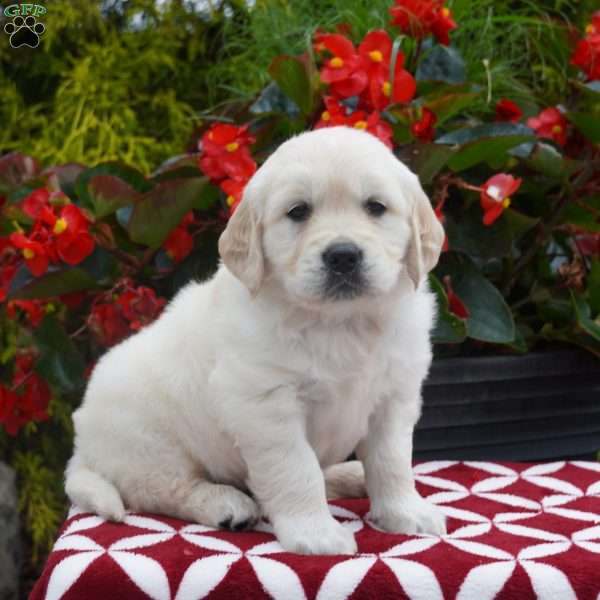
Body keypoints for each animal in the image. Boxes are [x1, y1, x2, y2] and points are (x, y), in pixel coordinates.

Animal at [67, 125, 446, 552]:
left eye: (376, 207)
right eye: (298, 211)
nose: (343, 256)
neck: (340, 322)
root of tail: (83, 448)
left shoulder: (394, 395)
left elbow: (392, 459)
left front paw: (405, 512)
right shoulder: (266, 404)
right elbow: (296, 468)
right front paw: (315, 533)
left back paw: (350, 475)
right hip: (149, 441)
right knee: (162, 487)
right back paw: (226, 505)